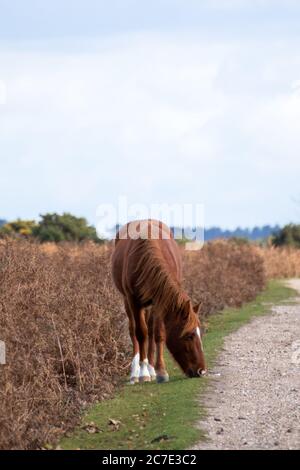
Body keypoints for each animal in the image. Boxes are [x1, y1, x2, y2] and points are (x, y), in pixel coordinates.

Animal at [110, 218, 206, 384]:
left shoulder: (160, 301)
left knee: (150, 330)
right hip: (128, 301)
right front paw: (143, 373)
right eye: (189, 336)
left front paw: (160, 371)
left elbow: (158, 334)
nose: (202, 371)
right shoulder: (134, 301)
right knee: (134, 330)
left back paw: (151, 368)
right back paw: (136, 371)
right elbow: (140, 333)